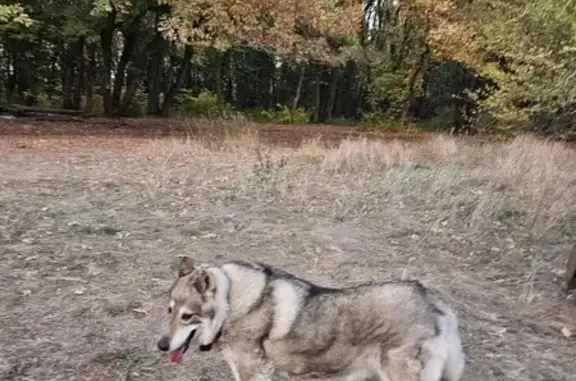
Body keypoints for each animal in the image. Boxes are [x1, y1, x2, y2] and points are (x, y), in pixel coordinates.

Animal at [156, 256, 464, 380]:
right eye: (169, 310)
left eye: (187, 316)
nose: (161, 345)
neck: (233, 303)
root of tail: (434, 303)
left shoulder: (252, 374)